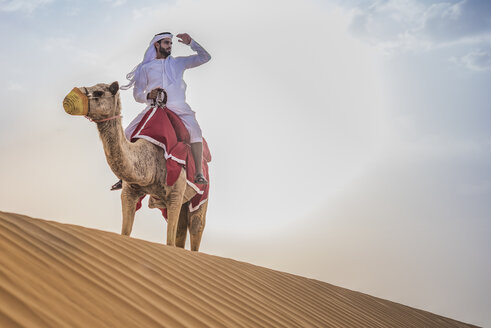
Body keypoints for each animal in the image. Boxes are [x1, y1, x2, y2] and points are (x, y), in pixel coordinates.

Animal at [62, 81, 208, 251]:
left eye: (99, 92)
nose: (68, 99)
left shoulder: (175, 194)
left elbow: (169, 242)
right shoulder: (129, 192)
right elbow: (125, 232)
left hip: (200, 198)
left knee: (196, 226)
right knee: (181, 229)